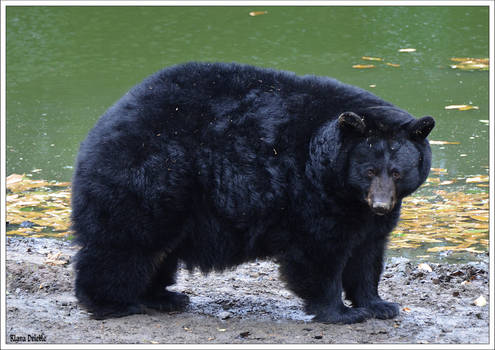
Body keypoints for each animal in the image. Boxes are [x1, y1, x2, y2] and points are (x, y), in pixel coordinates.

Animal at [70, 61, 434, 324]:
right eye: (369, 170)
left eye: (397, 171)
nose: (381, 204)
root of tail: (103, 123)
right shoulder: (310, 193)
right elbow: (318, 253)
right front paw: (341, 312)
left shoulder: (364, 215)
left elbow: (367, 254)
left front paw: (380, 304)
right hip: (154, 174)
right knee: (127, 243)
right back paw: (112, 303)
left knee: (160, 250)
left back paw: (163, 297)